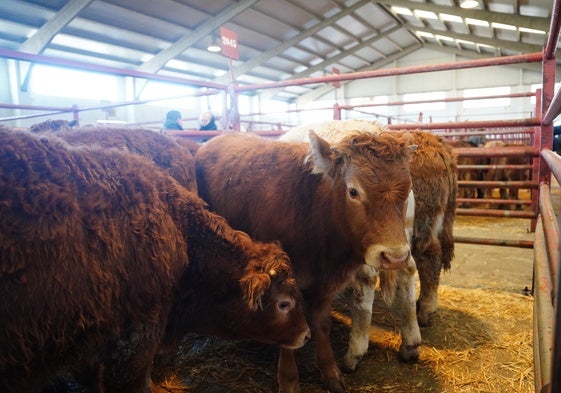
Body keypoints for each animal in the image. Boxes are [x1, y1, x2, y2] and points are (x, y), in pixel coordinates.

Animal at [194, 130, 416, 390]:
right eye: (353, 191)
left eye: (407, 191)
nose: (395, 256)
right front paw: (289, 380)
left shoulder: (325, 286)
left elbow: (322, 325)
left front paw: (330, 372)